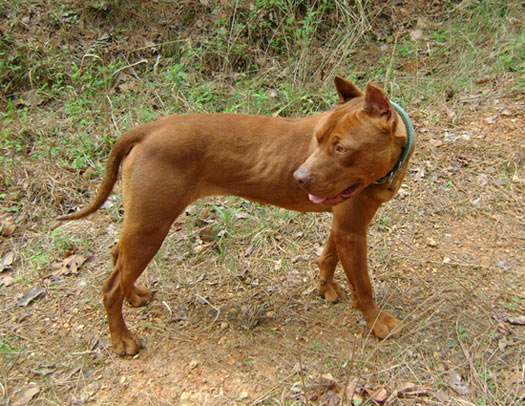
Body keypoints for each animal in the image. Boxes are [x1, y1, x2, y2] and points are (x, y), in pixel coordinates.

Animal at [59, 77, 414, 356]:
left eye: (341, 148)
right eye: (318, 139)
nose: (298, 177)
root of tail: (150, 129)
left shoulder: (343, 226)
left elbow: (328, 257)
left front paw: (325, 288)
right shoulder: (352, 231)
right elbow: (364, 286)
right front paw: (378, 323)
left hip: (141, 226)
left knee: (118, 261)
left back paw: (133, 295)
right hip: (151, 227)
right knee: (110, 288)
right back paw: (122, 340)